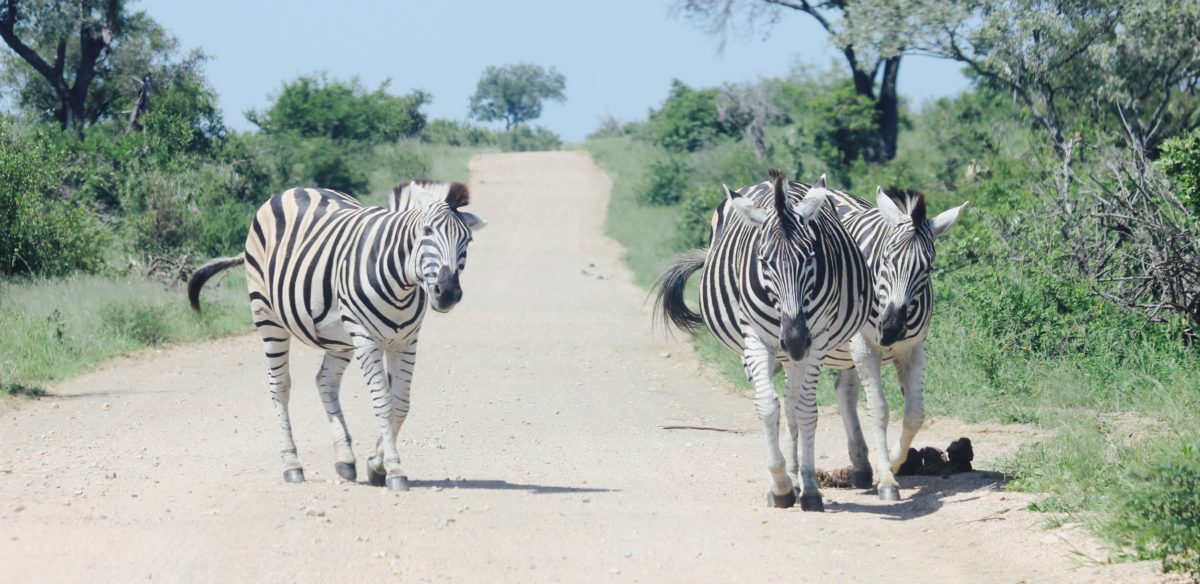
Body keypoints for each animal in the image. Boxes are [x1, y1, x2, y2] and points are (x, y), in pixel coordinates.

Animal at [186, 181, 482, 491]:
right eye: (426, 232)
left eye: (468, 240)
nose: (447, 293)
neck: (401, 282)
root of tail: (294, 189)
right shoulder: (365, 337)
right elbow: (383, 403)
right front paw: (394, 470)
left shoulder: (406, 341)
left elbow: (400, 404)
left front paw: (375, 465)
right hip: (267, 315)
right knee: (279, 386)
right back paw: (292, 465)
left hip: (339, 339)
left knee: (325, 381)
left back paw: (345, 459)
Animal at [657, 170, 873, 513]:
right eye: (763, 260)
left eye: (810, 257)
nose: (795, 340)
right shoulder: (756, 339)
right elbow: (767, 407)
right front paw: (780, 486)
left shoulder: (817, 338)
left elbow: (805, 410)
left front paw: (809, 487)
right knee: (782, 401)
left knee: (796, 403)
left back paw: (800, 478)